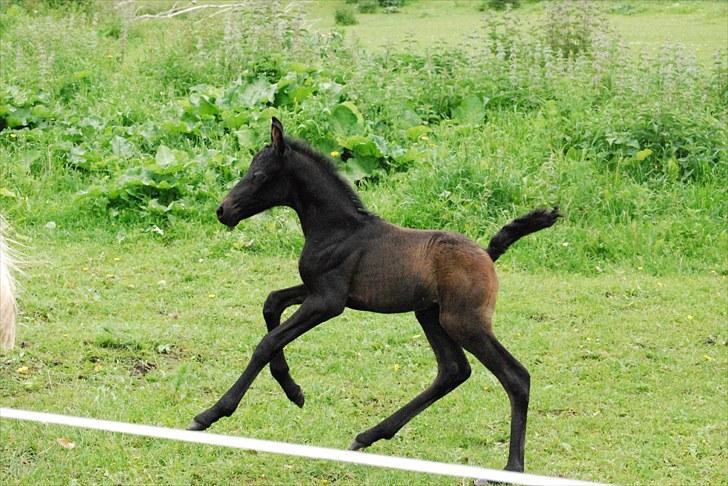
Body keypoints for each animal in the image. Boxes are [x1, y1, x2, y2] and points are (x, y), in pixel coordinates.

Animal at [188, 117, 556, 474]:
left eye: (259, 175)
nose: (223, 210)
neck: (338, 230)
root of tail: (487, 255)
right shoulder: (316, 290)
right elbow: (271, 304)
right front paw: (294, 392)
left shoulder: (328, 302)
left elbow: (268, 341)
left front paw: (210, 414)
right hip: (430, 315)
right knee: (453, 370)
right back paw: (368, 436)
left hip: (464, 321)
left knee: (515, 376)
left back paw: (511, 467)